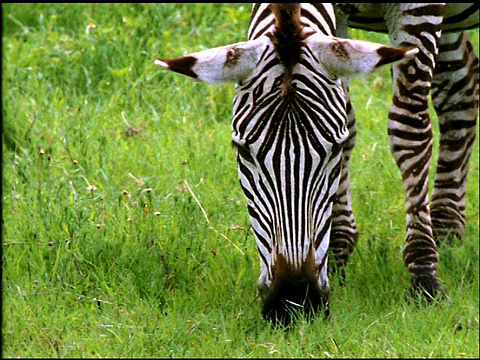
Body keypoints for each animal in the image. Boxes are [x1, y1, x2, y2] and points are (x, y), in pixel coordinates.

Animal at [332, 3, 478, 300]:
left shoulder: (420, 10)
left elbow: (409, 125)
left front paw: (423, 275)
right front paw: (332, 258)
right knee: (461, 91)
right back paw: (445, 227)